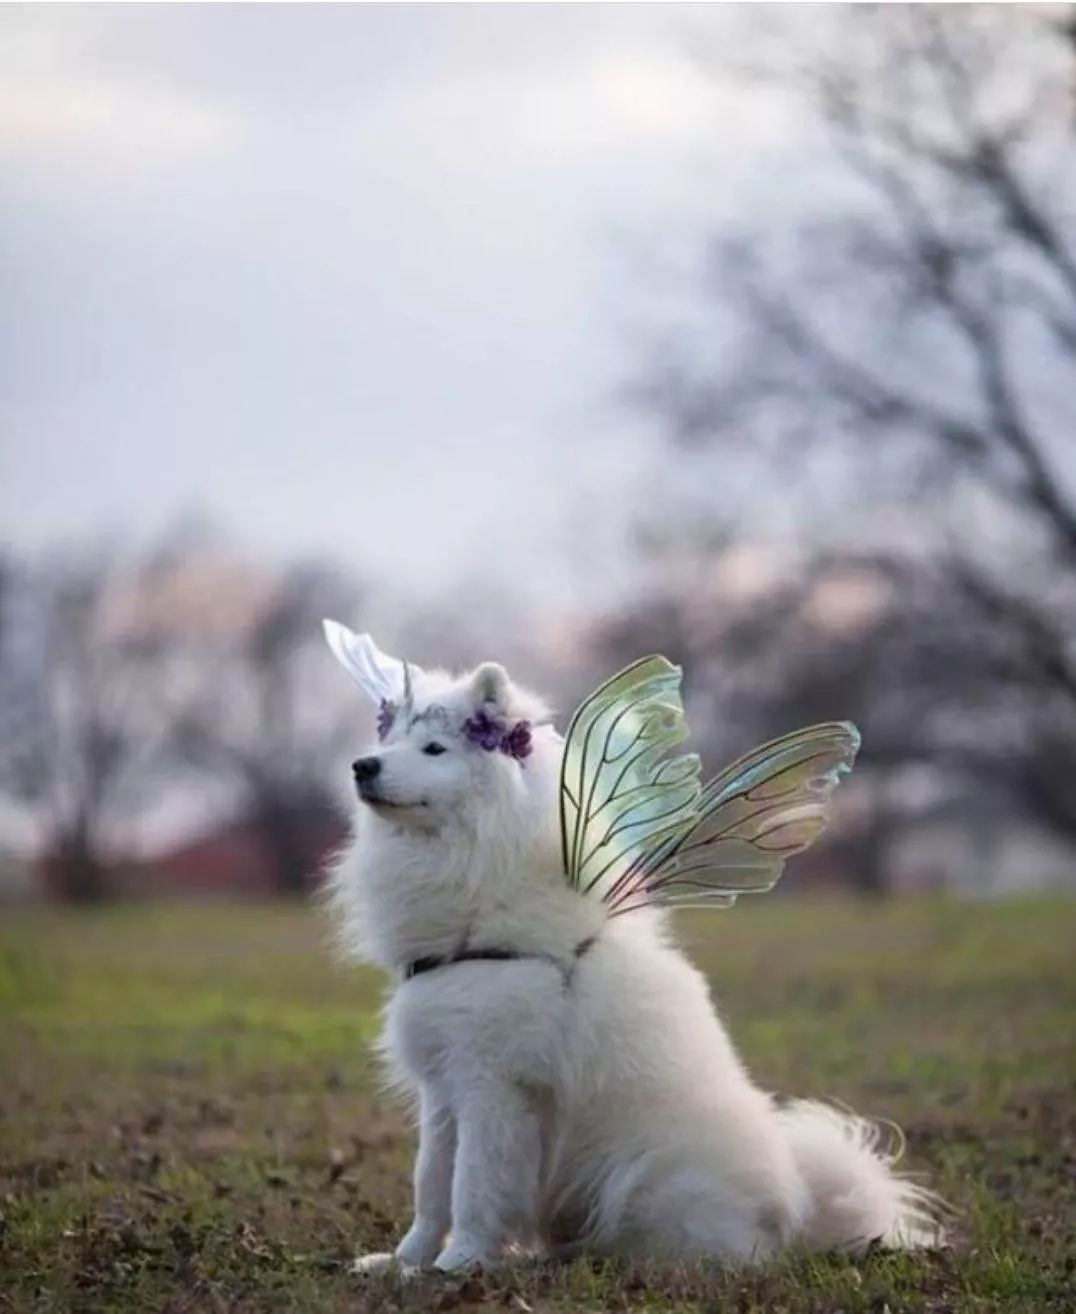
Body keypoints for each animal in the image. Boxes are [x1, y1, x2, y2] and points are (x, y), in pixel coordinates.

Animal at [325, 628, 940, 1271]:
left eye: (434, 749)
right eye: (388, 740)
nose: (362, 765)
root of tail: (796, 1213)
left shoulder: (491, 1086)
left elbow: (472, 1186)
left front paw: (459, 1264)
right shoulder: (442, 1088)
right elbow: (429, 1186)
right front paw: (405, 1263)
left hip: (647, 1175)